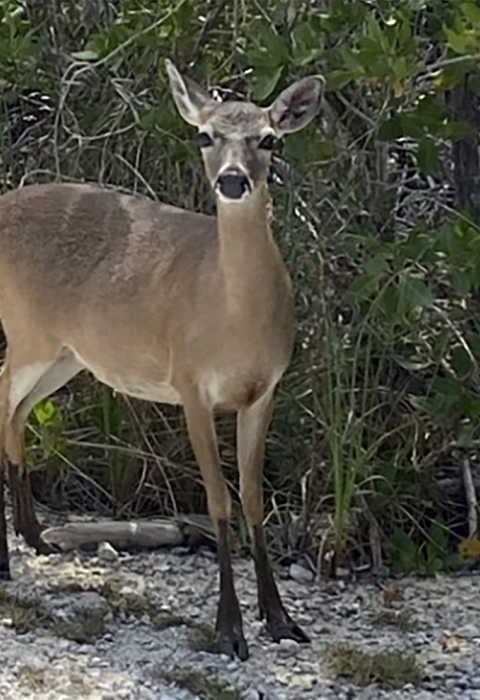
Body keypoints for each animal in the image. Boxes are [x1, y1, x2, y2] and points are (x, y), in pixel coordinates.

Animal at [0, 61, 323, 659]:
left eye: (269, 139)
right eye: (205, 135)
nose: (233, 180)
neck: (233, 319)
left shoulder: (264, 391)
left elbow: (253, 501)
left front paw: (281, 620)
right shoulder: (190, 384)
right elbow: (219, 501)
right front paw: (229, 630)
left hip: (66, 352)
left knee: (16, 412)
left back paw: (35, 539)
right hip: (26, 331)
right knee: (2, 400)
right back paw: (9, 559)